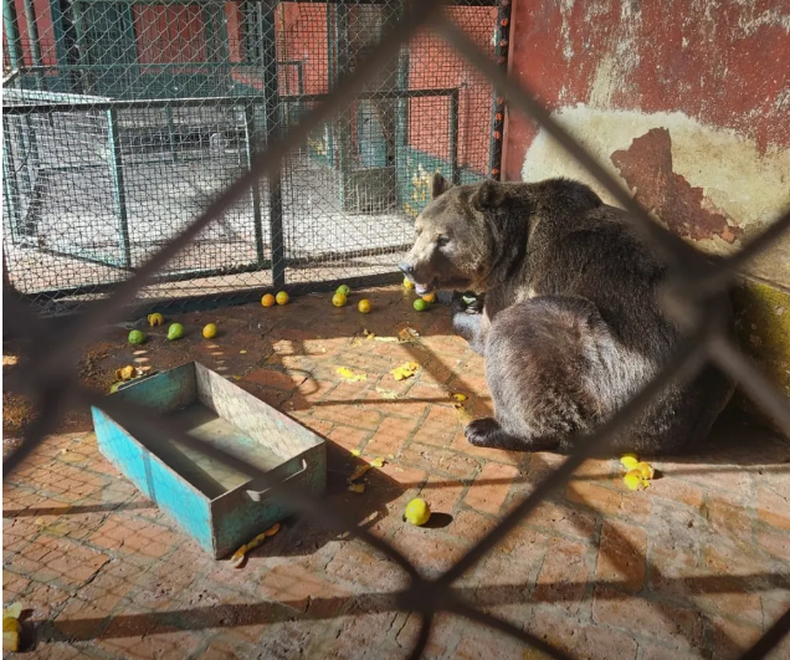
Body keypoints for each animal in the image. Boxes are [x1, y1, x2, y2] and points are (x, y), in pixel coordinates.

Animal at [398, 173, 735, 455]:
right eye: (418, 230)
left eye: (443, 238)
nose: (408, 266)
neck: (509, 247)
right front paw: (466, 301)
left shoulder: (517, 281)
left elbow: (488, 331)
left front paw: (462, 308)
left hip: (612, 367)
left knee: (520, 335)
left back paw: (490, 429)